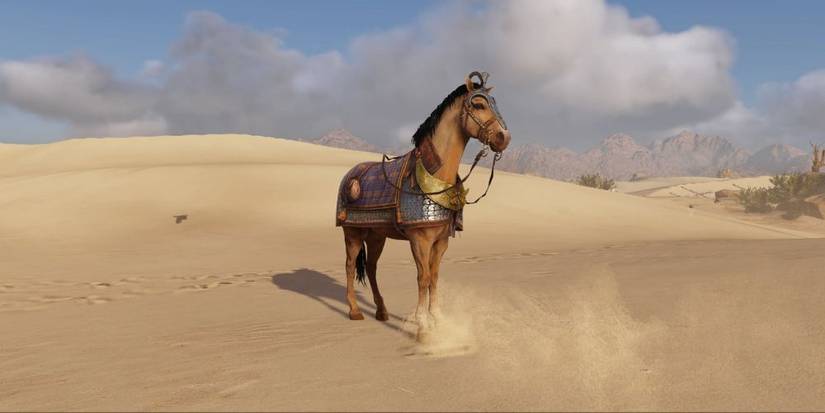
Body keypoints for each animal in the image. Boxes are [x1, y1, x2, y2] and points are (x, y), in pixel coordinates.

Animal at [335, 71, 510, 341]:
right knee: (349, 265)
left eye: (495, 104)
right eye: (479, 105)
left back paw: (382, 311)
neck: (432, 172)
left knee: (372, 268)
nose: (504, 138)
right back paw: (354, 310)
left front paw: (437, 319)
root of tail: (350, 175)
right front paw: (422, 326)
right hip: (352, 232)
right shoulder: (420, 240)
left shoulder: (441, 241)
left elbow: (435, 277)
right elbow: (423, 277)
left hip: (376, 235)